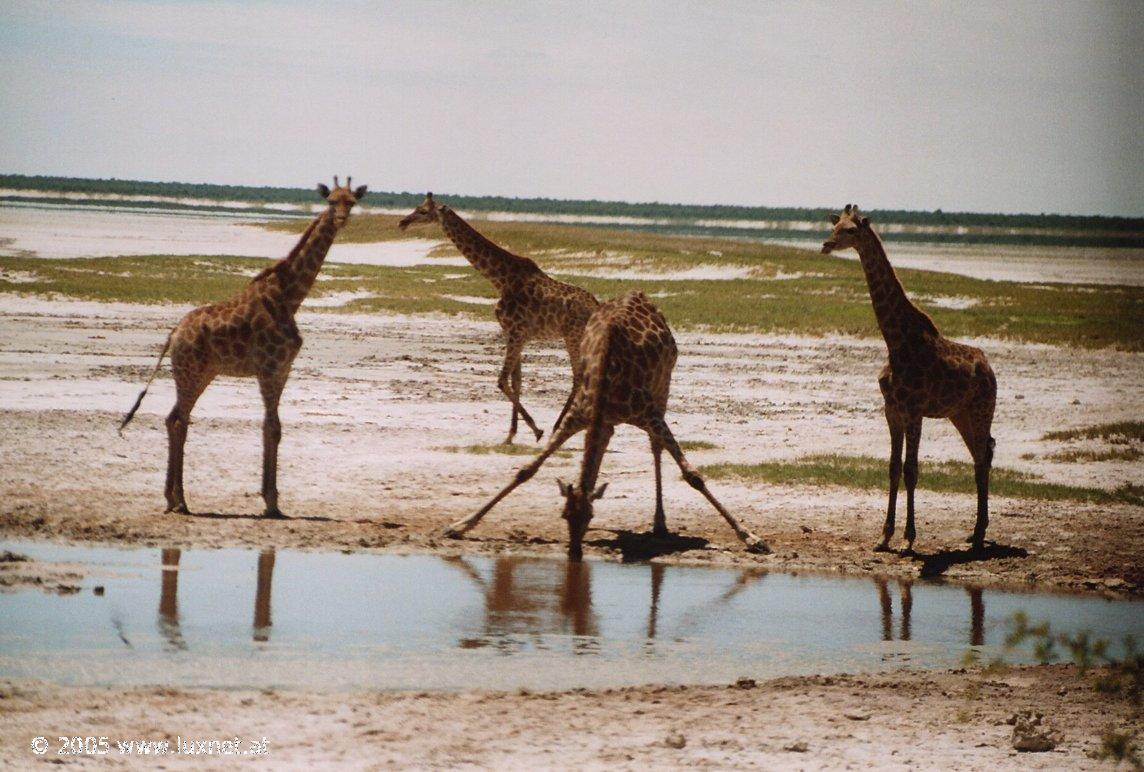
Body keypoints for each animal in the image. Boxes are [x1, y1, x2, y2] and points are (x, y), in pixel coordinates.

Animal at [118, 177, 366, 516]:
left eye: (351, 202)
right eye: (330, 201)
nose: (341, 219)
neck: (289, 298)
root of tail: (173, 334)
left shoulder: (283, 370)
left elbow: (272, 428)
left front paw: (271, 499)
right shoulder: (269, 369)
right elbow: (272, 427)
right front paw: (272, 502)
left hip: (200, 374)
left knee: (172, 418)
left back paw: (171, 498)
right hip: (190, 372)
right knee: (180, 421)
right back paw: (181, 500)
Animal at [398, 193, 599, 443]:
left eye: (423, 211)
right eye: (417, 207)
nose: (403, 222)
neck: (499, 280)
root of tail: (597, 306)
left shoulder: (516, 332)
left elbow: (502, 380)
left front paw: (536, 430)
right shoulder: (514, 333)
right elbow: (516, 380)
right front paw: (511, 434)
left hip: (572, 335)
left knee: (579, 376)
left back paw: (557, 426)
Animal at [441, 290, 773, 562]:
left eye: (590, 516)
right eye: (564, 515)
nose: (575, 553)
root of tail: (639, 295)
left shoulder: (648, 413)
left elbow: (692, 475)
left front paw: (752, 538)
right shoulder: (580, 416)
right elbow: (526, 470)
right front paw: (459, 525)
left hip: (662, 389)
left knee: (655, 448)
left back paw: (660, 522)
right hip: (611, 420)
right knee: (609, 442)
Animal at [819, 205, 997, 553]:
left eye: (851, 230)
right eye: (835, 225)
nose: (826, 244)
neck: (895, 341)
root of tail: (990, 369)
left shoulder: (914, 411)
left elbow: (911, 470)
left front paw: (908, 539)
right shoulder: (892, 410)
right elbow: (892, 468)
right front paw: (883, 536)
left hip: (982, 409)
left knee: (983, 456)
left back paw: (979, 534)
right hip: (960, 414)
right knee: (981, 456)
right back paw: (975, 533)